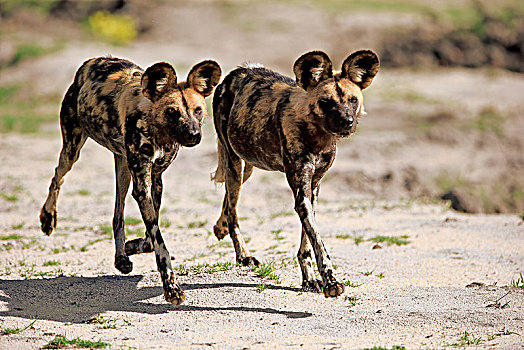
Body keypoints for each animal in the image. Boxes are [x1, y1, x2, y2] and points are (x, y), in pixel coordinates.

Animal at [40, 55, 221, 304]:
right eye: (173, 111)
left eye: (198, 110)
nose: (194, 135)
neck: (157, 128)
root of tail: (91, 61)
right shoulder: (142, 186)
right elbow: (159, 243)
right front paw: (171, 288)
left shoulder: (155, 180)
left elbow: (151, 238)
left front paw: (132, 246)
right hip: (72, 150)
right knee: (57, 177)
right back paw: (48, 218)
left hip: (123, 169)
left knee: (118, 215)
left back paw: (121, 259)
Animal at [211, 50, 378, 298]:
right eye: (325, 102)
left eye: (352, 100)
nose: (346, 122)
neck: (318, 136)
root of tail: (239, 71)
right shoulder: (302, 193)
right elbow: (318, 243)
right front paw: (330, 282)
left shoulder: (314, 187)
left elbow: (307, 243)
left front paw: (309, 280)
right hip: (234, 163)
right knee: (233, 211)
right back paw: (243, 255)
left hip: (245, 166)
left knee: (230, 201)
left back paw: (220, 227)